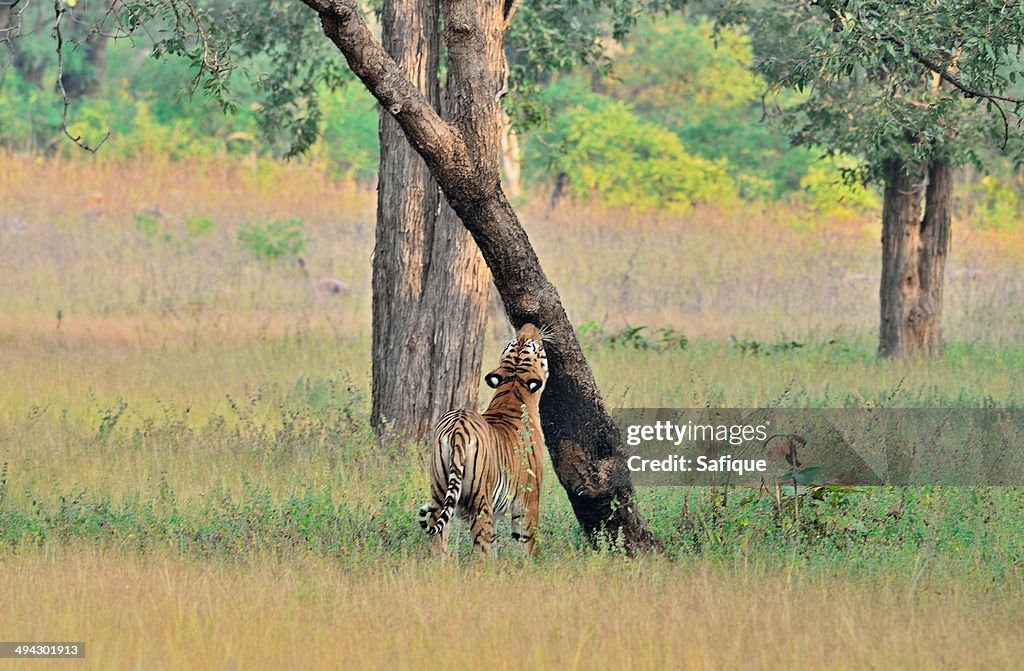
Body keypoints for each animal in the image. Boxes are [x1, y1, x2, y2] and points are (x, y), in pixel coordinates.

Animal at [417, 323, 552, 557]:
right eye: (534, 346)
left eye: (515, 343)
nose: (528, 326)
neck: (512, 387)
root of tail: (458, 427)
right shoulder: (529, 498)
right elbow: (526, 543)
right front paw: (529, 564)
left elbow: (495, 543)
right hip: (480, 502)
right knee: (480, 550)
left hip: (439, 493)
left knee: (438, 540)